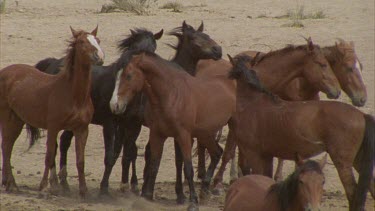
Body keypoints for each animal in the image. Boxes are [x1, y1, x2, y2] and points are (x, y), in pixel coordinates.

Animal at [0, 26, 104, 198]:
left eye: (98, 40)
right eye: (82, 42)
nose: (99, 57)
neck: (73, 95)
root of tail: (5, 71)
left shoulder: (82, 129)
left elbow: (80, 161)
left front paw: (84, 191)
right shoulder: (53, 128)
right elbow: (49, 156)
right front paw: (43, 187)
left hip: (17, 120)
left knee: (7, 146)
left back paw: (8, 184)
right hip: (8, 119)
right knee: (6, 147)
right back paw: (12, 185)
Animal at [35, 28, 163, 195]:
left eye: (153, 47)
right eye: (136, 49)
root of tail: (54, 62)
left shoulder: (133, 126)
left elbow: (127, 154)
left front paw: (125, 186)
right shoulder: (109, 124)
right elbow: (110, 156)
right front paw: (104, 189)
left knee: (64, 142)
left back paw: (64, 182)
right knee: (55, 146)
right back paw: (55, 182)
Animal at [108, 52, 235, 210]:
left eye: (129, 76)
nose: (115, 105)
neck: (170, 96)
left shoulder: (183, 136)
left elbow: (187, 169)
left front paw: (192, 202)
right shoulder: (157, 135)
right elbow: (154, 165)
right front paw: (147, 196)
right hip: (204, 133)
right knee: (217, 152)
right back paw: (205, 190)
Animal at [228, 53, 374, 210]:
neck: (252, 102)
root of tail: (362, 115)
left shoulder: (254, 154)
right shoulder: (267, 156)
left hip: (343, 163)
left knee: (352, 193)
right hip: (358, 159)